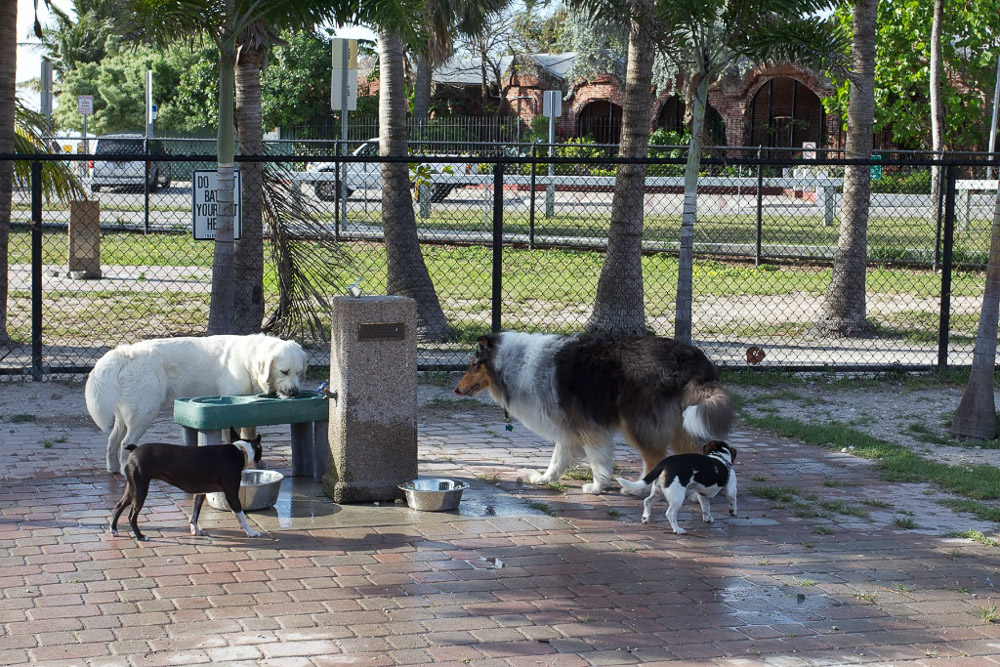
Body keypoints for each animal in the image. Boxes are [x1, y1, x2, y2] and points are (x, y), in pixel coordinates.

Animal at [111, 428, 264, 544]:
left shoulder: (200, 493)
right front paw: (251, 532)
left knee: (118, 506)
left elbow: (195, 514)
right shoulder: (231, 494)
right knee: (132, 516)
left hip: (132, 488)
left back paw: (114, 530)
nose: (260, 462)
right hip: (140, 489)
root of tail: (135, 449)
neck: (240, 451)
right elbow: (241, 516)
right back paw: (140, 536)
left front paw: (195, 530)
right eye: (261, 452)